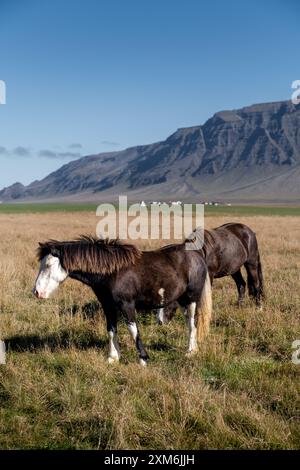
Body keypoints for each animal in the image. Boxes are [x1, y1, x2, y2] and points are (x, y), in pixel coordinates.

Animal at [32, 237, 212, 366]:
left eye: (48, 265)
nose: (36, 292)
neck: (112, 272)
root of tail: (196, 254)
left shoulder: (127, 306)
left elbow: (133, 331)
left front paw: (143, 359)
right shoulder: (108, 306)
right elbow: (111, 330)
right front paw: (113, 358)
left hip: (191, 299)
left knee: (192, 323)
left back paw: (190, 351)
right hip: (181, 300)